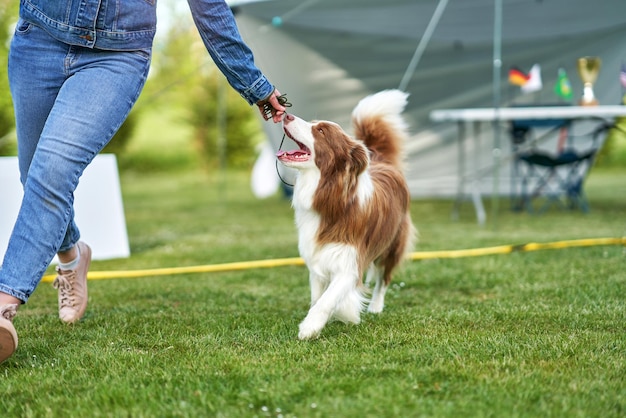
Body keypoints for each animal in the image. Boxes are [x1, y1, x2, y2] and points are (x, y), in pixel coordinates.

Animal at [276, 89, 414, 340]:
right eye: (313, 124)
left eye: (320, 131)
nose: (286, 115)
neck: (328, 194)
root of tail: (382, 161)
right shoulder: (316, 257)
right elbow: (317, 297)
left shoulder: (349, 261)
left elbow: (327, 299)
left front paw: (310, 328)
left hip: (393, 243)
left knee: (384, 277)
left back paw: (376, 306)